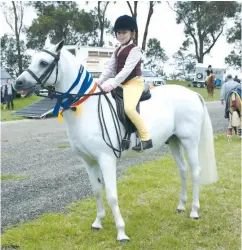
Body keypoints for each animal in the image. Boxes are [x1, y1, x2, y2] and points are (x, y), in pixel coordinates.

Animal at [13, 41, 217, 242]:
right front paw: (97, 222)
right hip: (174, 141)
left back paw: (194, 211)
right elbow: (96, 191)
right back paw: (181, 206)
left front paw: (121, 232)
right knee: (182, 171)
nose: (17, 83)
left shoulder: (106, 159)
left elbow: (111, 195)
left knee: (195, 172)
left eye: (43, 63)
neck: (86, 108)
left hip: (189, 141)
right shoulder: (88, 161)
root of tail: (192, 94)